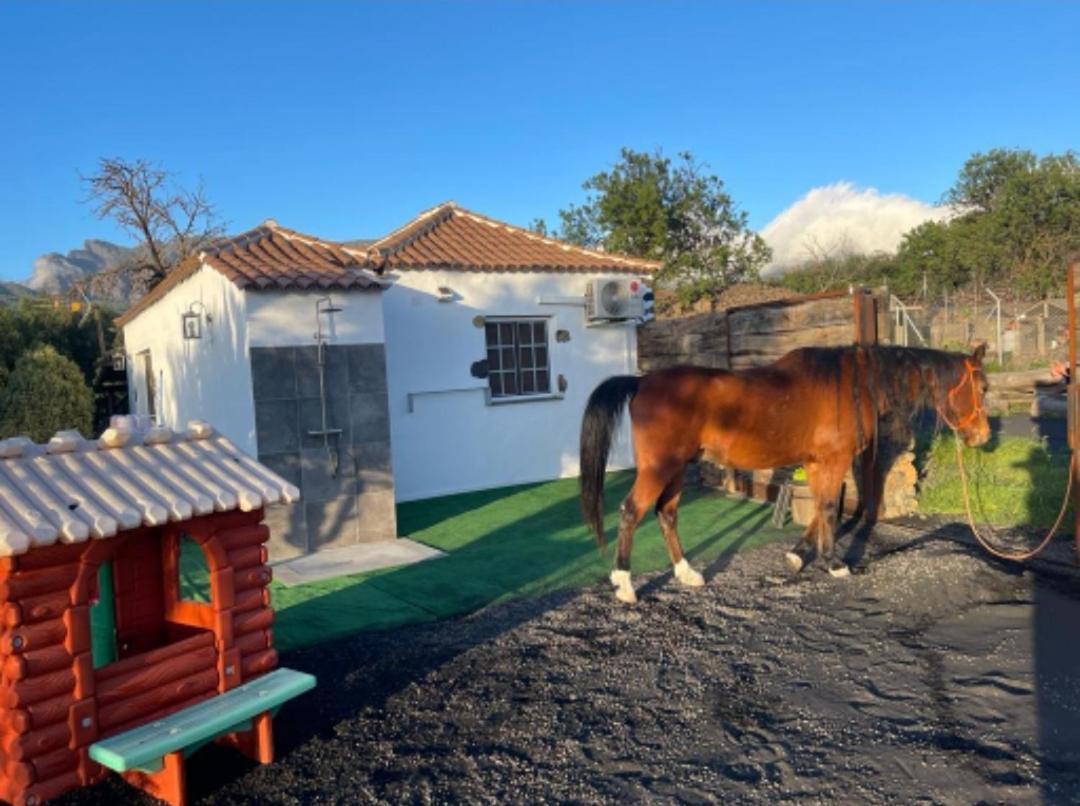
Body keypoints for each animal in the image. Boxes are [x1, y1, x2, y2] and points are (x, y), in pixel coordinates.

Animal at [578, 341, 989, 600]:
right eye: (983, 387)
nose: (982, 436)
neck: (853, 387)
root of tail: (641, 381)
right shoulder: (834, 460)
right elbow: (829, 509)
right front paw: (833, 563)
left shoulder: (816, 463)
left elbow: (821, 508)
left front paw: (797, 555)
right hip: (659, 468)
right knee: (631, 512)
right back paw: (625, 584)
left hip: (677, 468)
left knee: (666, 514)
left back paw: (686, 573)